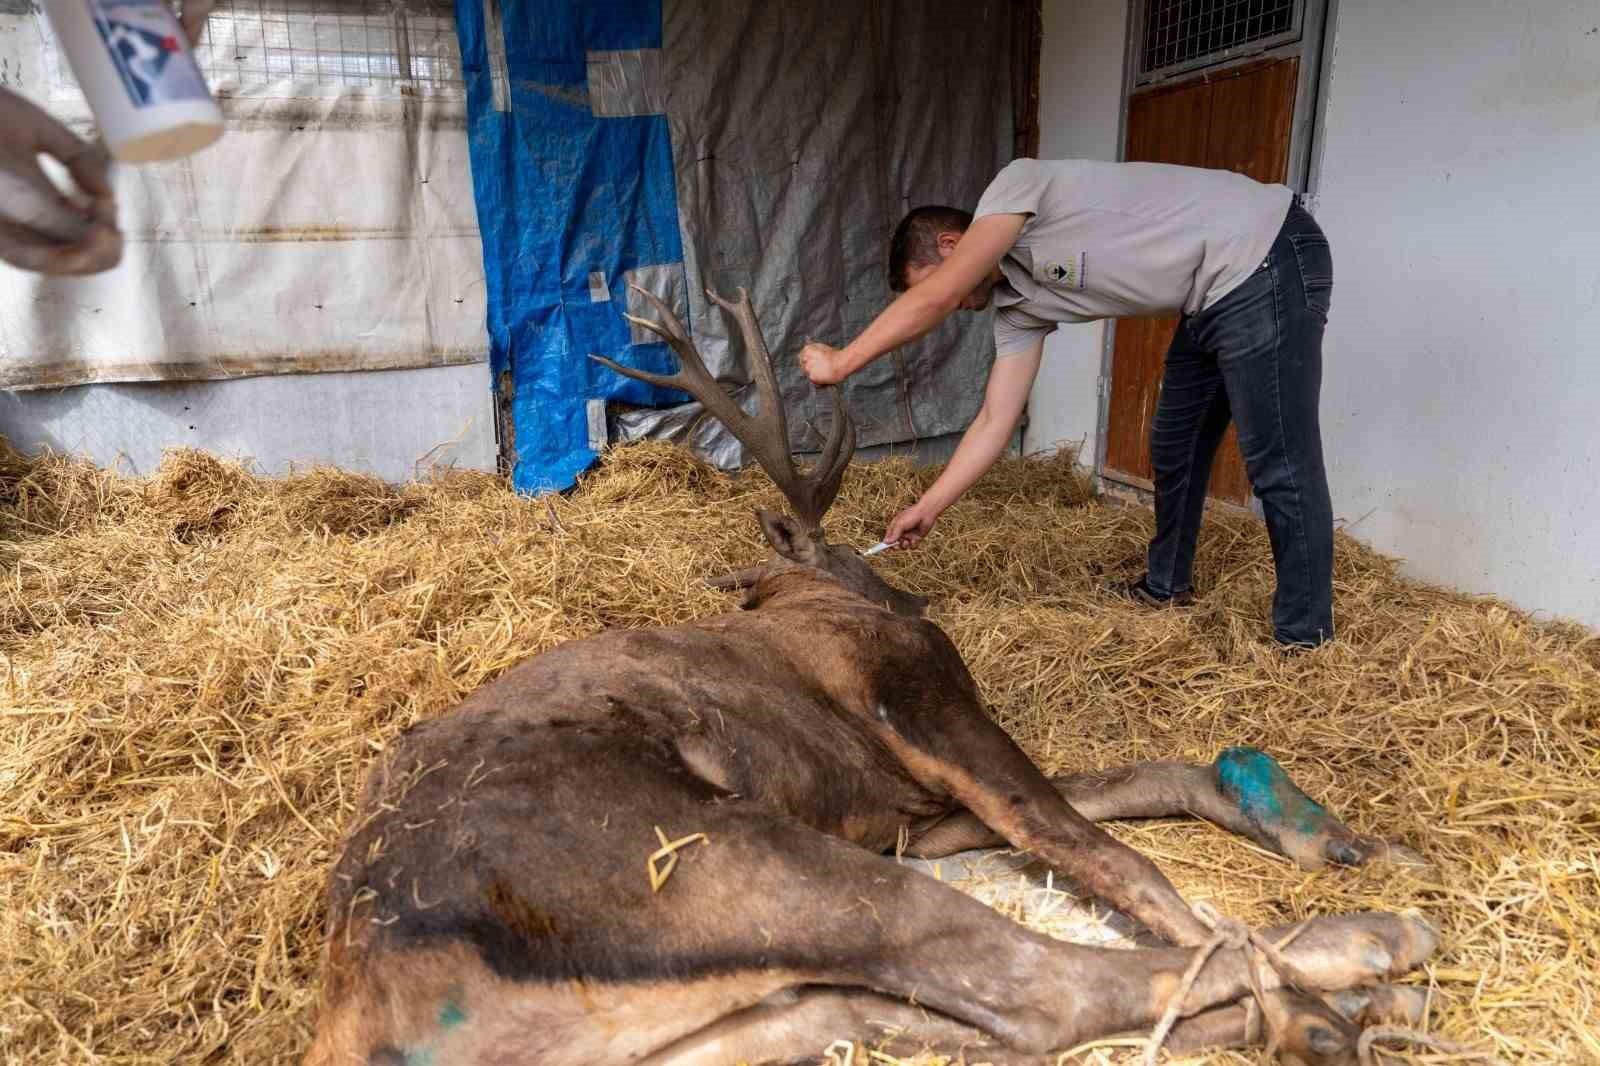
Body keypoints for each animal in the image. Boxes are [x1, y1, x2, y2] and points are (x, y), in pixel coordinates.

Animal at [305, 284, 1433, 1062]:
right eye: (850, 551)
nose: (910, 595)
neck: (803, 599)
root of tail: (380, 1014)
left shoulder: (911, 810)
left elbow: (1126, 788)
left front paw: (1311, 829)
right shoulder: (918, 705)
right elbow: (1098, 846)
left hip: (736, 1017)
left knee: (961, 1015)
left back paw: (1336, 999)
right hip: (728, 861)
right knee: (1036, 985)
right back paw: (1359, 965)